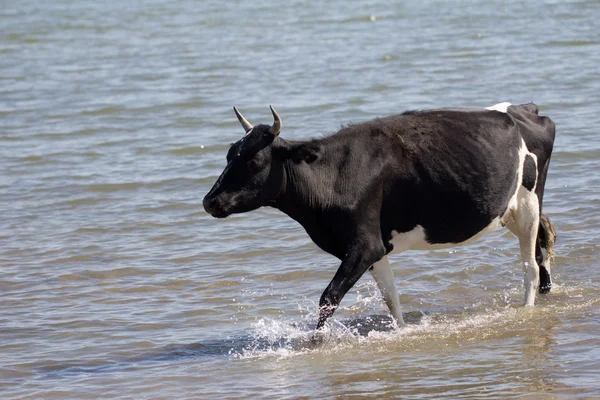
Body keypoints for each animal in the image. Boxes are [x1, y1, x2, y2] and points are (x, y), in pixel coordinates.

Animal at [203, 103, 556, 332]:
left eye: (254, 160)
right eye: (229, 154)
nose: (209, 201)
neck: (332, 176)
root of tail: (524, 110)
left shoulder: (364, 245)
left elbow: (328, 298)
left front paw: (315, 343)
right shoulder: (374, 248)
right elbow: (391, 298)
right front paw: (400, 330)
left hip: (528, 204)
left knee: (529, 265)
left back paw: (527, 310)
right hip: (516, 210)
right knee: (545, 240)